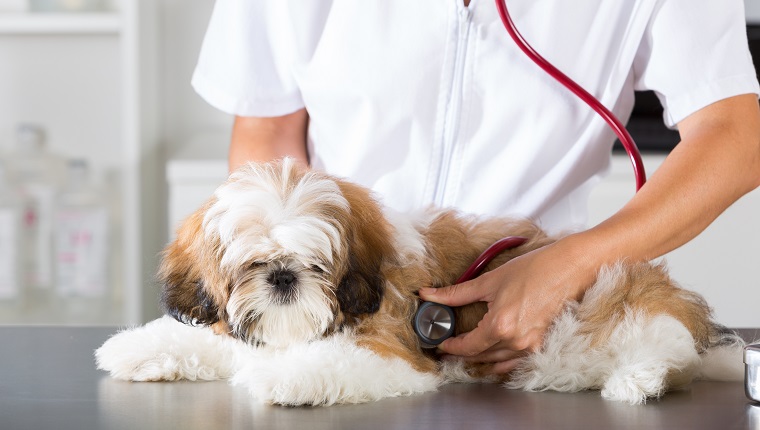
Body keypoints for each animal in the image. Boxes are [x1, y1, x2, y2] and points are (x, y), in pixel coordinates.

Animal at [95, 159, 744, 406]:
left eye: (316, 264)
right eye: (252, 265)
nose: (282, 278)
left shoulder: (393, 352)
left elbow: (328, 363)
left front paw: (284, 380)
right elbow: (201, 337)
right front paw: (135, 348)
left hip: (616, 300)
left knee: (666, 350)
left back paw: (638, 379)